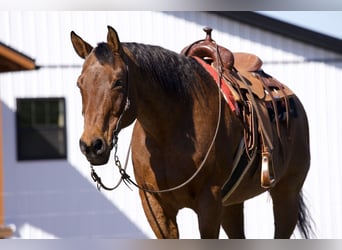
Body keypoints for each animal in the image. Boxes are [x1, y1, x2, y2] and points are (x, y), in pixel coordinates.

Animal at [71, 26, 312, 239]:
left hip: (286, 194)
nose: (92, 145)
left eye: (118, 82)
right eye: (80, 84)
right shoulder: (156, 207)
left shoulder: (209, 203)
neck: (168, 134)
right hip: (232, 203)